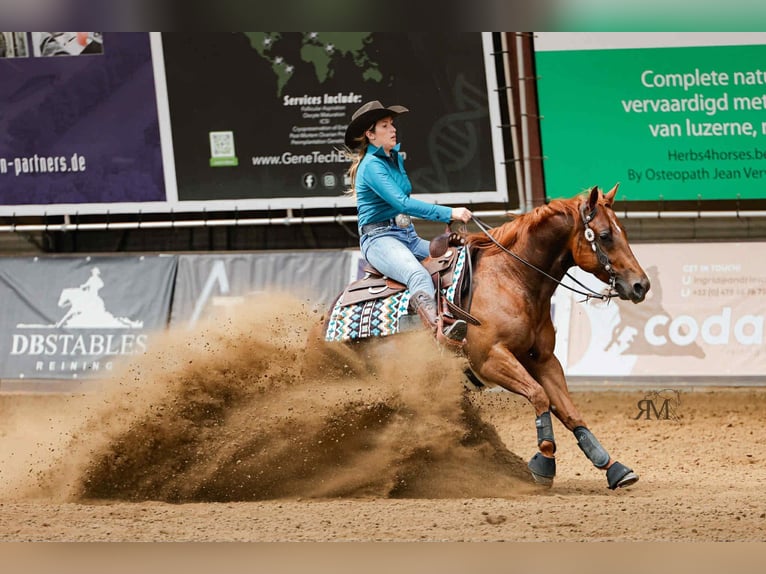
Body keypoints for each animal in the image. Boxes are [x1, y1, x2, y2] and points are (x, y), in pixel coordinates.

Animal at [319, 183, 650, 489]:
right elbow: (539, 395)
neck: (512, 278)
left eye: (622, 231)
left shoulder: (544, 360)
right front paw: (544, 463)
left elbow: (569, 412)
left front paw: (612, 466)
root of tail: (326, 320)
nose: (641, 285)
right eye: (605, 235)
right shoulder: (491, 359)